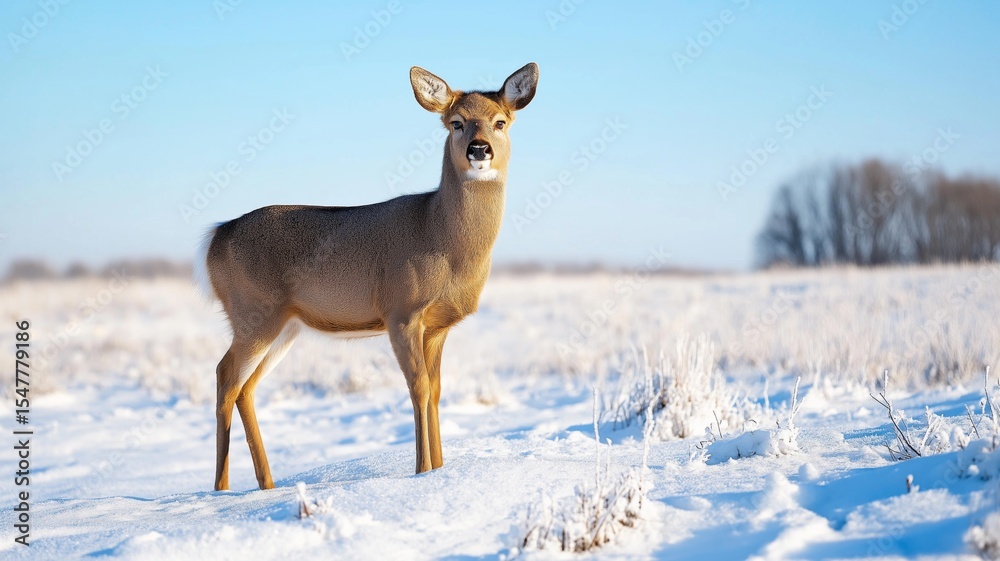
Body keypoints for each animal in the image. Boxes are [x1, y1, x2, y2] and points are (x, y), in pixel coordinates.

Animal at [195, 63, 539, 490]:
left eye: (500, 122)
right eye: (456, 122)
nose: (479, 148)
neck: (440, 234)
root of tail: (216, 237)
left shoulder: (438, 326)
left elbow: (437, 390)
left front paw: (439, 470)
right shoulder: (401, 312)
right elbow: (418, 387)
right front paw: (421, 471)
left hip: (284, 325)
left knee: (245, 387)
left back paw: (266, 486)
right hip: (253, 312)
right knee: (225, 376)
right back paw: (221, 490)